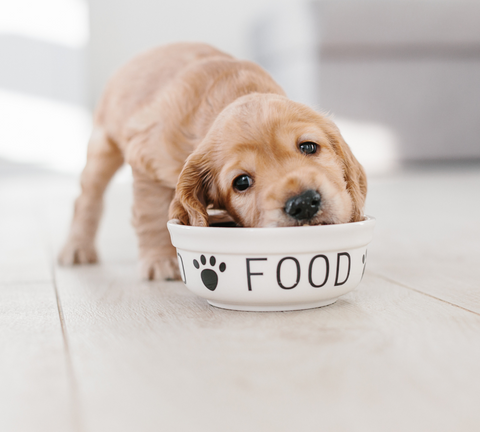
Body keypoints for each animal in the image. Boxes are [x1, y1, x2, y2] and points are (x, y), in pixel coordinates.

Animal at [59, 41, 368, 280]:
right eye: (241, 182)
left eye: (308, 146)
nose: (303, 203)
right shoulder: (146, 160)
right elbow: (152, 214)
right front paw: (160, 261)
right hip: (103, 146)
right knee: (86, 198)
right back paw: (77, 248)